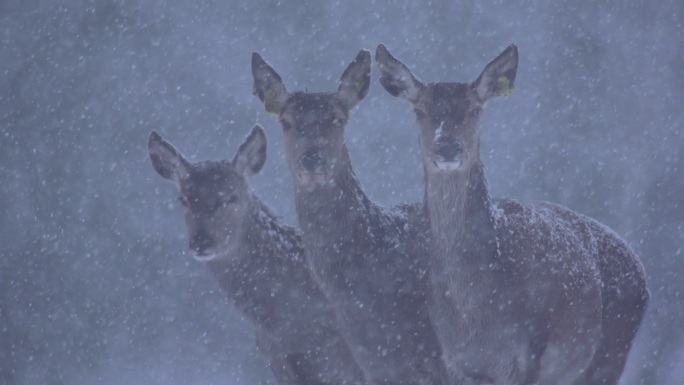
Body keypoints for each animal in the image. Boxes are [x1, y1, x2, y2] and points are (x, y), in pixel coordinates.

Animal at [376, 42, 648, 384]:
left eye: (475, 109)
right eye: (419, 111)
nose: (447, 147)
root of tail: (640, 267)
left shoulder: (528, 353)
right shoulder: (452, 361)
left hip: (610, 352)